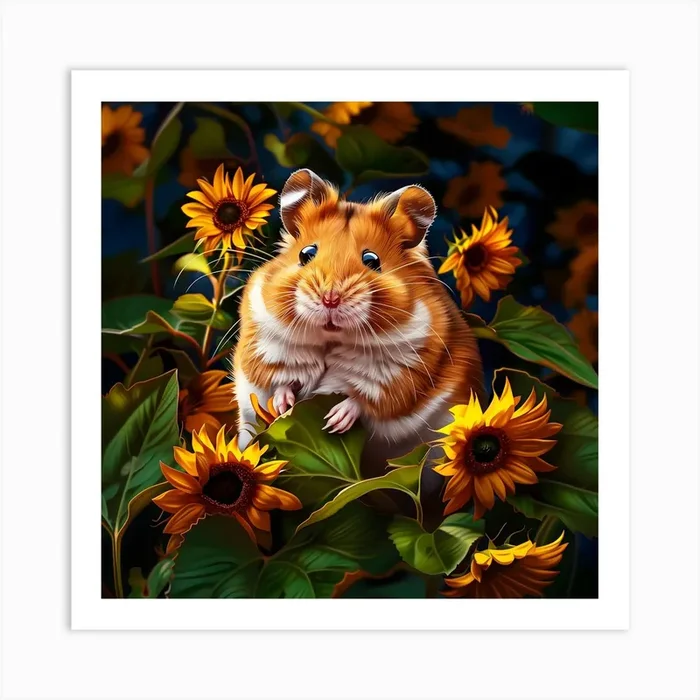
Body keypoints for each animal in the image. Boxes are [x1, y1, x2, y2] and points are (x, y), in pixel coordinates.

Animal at [233, 168, 484, 458]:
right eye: (306, 253)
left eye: (372, 260)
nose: (330, 299)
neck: (331, 339)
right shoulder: (265, 347)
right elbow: (278, 382)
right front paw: (282, 407)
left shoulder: (403, 372)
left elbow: (365, 398)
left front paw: (333, 421)